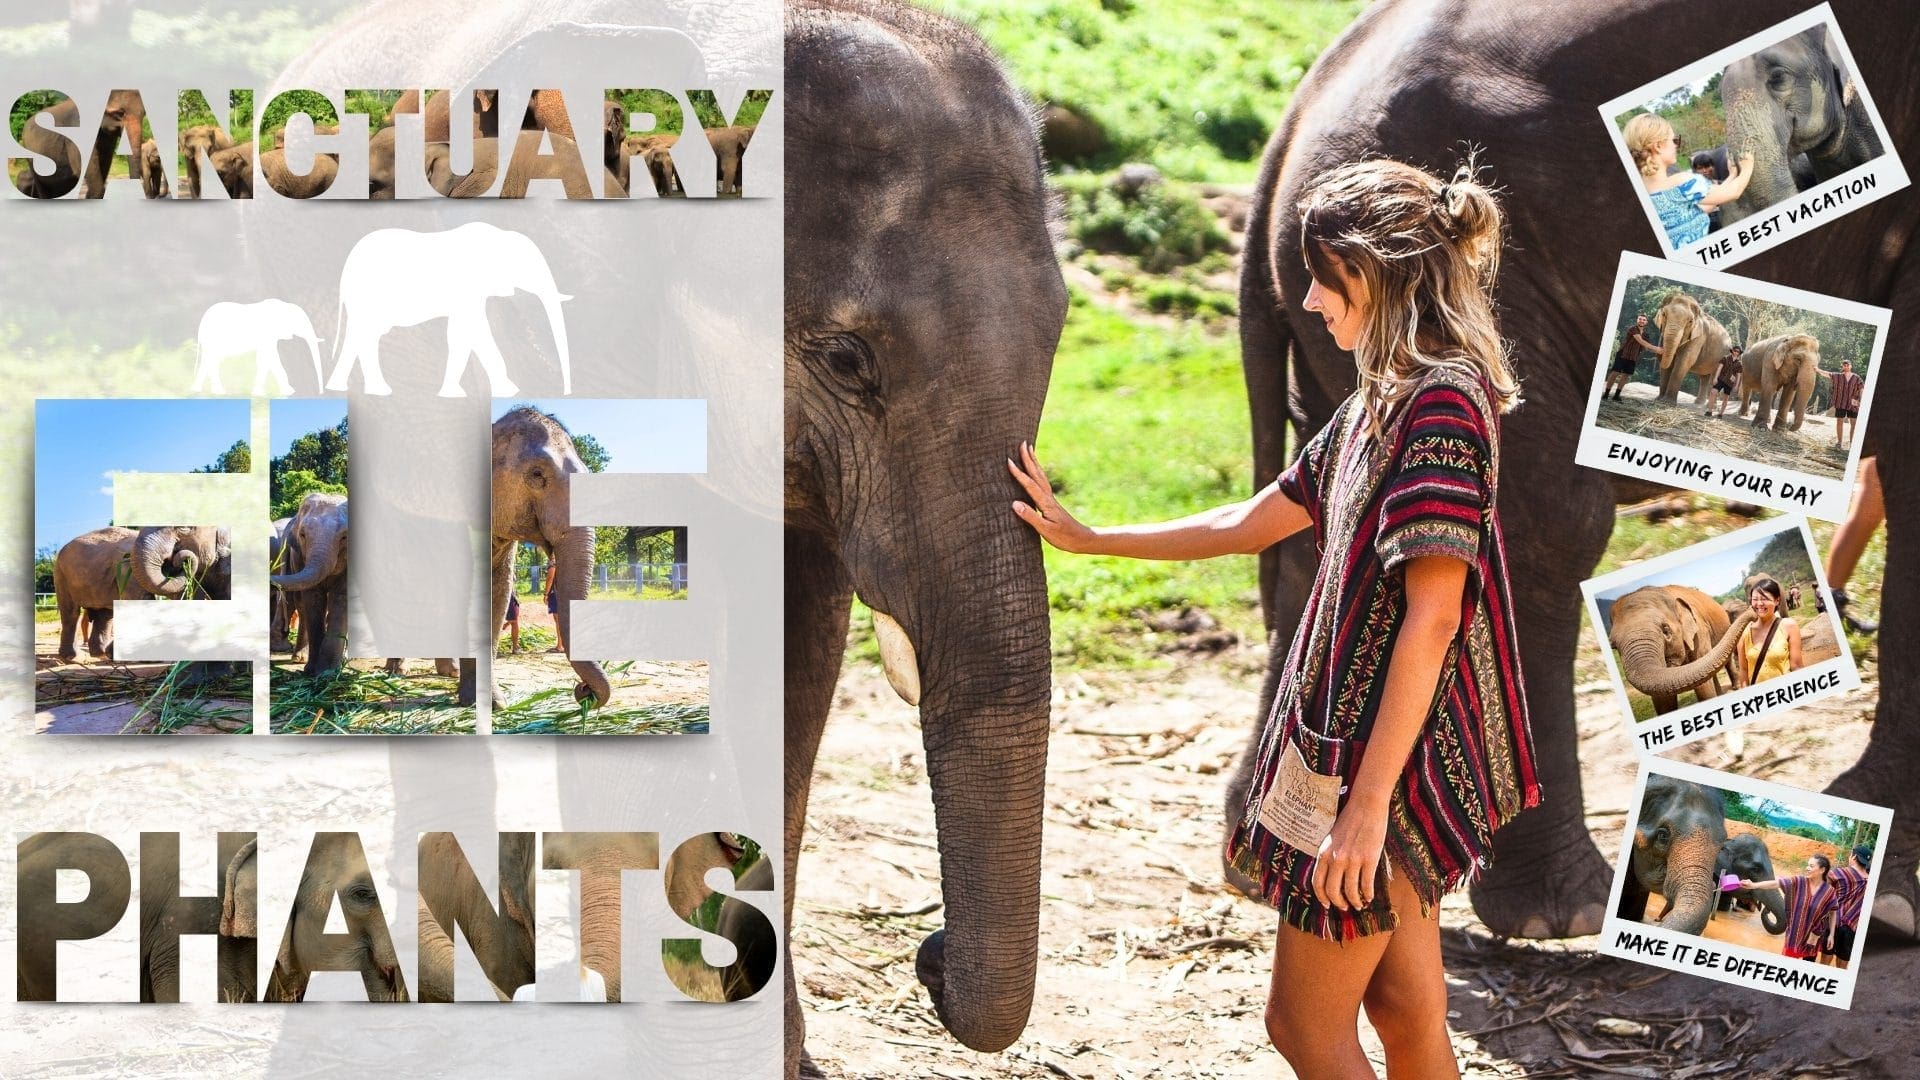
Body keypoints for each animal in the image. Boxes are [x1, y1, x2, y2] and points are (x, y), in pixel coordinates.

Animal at [52, 526, 149, 661]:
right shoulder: (132, 571)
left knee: (104, 614)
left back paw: (100, 654)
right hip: (61, 574)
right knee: (71, 612)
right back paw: (71, 657)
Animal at [193, 299, 325, 396]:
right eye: (301, 323)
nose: (321, 393)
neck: (285, 306)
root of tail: (201, 322)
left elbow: (268, 359)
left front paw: (287, 392)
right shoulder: (268, 334)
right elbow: (268, 359)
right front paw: (284, 392)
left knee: (208, 361)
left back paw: (199, 390)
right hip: (213, 339)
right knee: (212, 361)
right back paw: (218, 392)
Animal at [271, 492, 349, 677]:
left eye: (344, 537)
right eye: (303, 535)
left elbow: (341, 598)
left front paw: (327, 674)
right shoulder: (299, 557)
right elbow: (312, 598)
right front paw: (312, 672)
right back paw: (299, 659)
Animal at [324, 221, 573, 397]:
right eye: (529, 265)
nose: (567, 392)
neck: (499, 234)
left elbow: (464, 333)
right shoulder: (468, 288)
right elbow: (473, 332)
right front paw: (507, 390)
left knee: (363, 335)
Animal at [1607, 586, 1757, 714]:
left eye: (1666, 630)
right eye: (1613, 646)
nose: (1754, 612)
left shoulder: (1700, 631)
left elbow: (1702, 685)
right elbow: (1660, 697)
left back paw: (1736, 687)